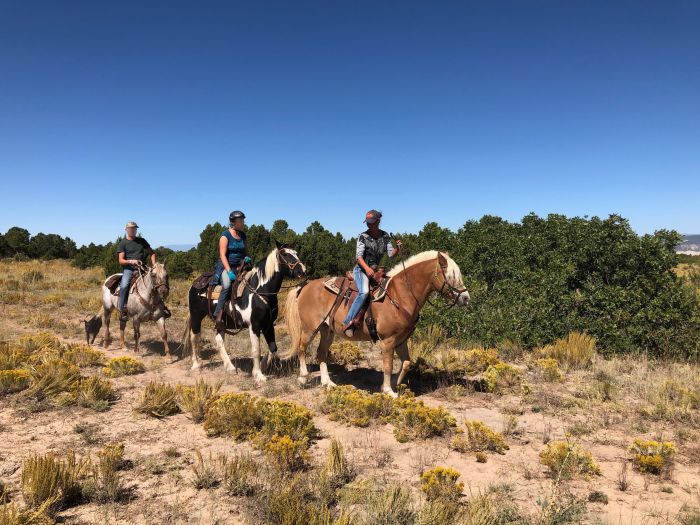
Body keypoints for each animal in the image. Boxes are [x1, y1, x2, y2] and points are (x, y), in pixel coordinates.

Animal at [183, 244, 306, 382]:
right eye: (285, 254)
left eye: (296, 253)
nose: (302, 270)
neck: (260, 290)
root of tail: (195, 283)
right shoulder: (254, 325)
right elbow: (256, 349)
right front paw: (258, 374)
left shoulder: (269, 324)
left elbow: (273, 346)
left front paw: (263, 366)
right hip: (196, 316)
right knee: (194, 338)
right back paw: (196, 365)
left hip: (221, 322)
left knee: (219, 340)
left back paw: (230, 367)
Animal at [284, 250, 470, 392]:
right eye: (450, 276)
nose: (466, 298)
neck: (399, 295)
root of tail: (304, 286)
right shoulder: (387, 340)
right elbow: (387, 365)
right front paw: (388, 391)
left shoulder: (401, 339)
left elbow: (406, 363)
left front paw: (394, 384)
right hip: (310, 328)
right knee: (302, 348)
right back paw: (303, 378)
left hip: (327, 330)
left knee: (321, 352)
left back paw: (327, 383)